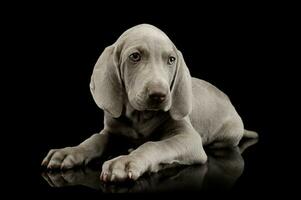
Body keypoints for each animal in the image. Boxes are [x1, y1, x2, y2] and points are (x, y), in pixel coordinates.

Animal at [41, 24, 256, 182]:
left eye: (171, 60)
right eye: (135, 56)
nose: (159, 95)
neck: (140, 116)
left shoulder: (188, 138)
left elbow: (156, 145)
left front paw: (126, 161)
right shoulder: (111, 130)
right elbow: (94, 139)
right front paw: (69, 152)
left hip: (226, 135)